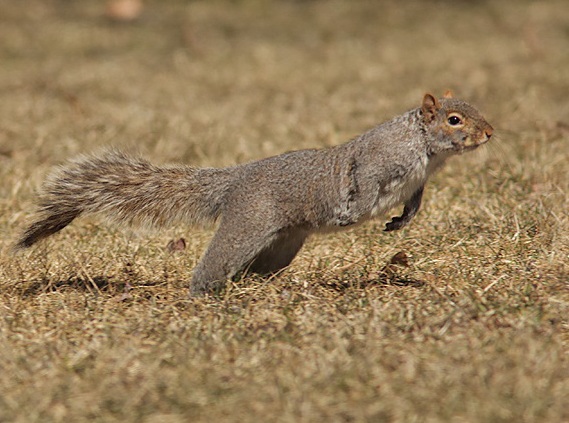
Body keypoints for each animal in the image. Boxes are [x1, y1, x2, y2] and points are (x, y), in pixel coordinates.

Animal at [15, 93, 490, 296]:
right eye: (453, 119)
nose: (489, 133)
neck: (425, 150)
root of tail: (235, 180)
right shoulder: (376, 161)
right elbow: (364, 183)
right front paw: (350, 210)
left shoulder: (419, 181)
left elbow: (415, 199)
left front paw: (403, 218)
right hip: (247, 225)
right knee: (215, 266)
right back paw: (204, 296)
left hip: (281, 245)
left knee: (253, 270)